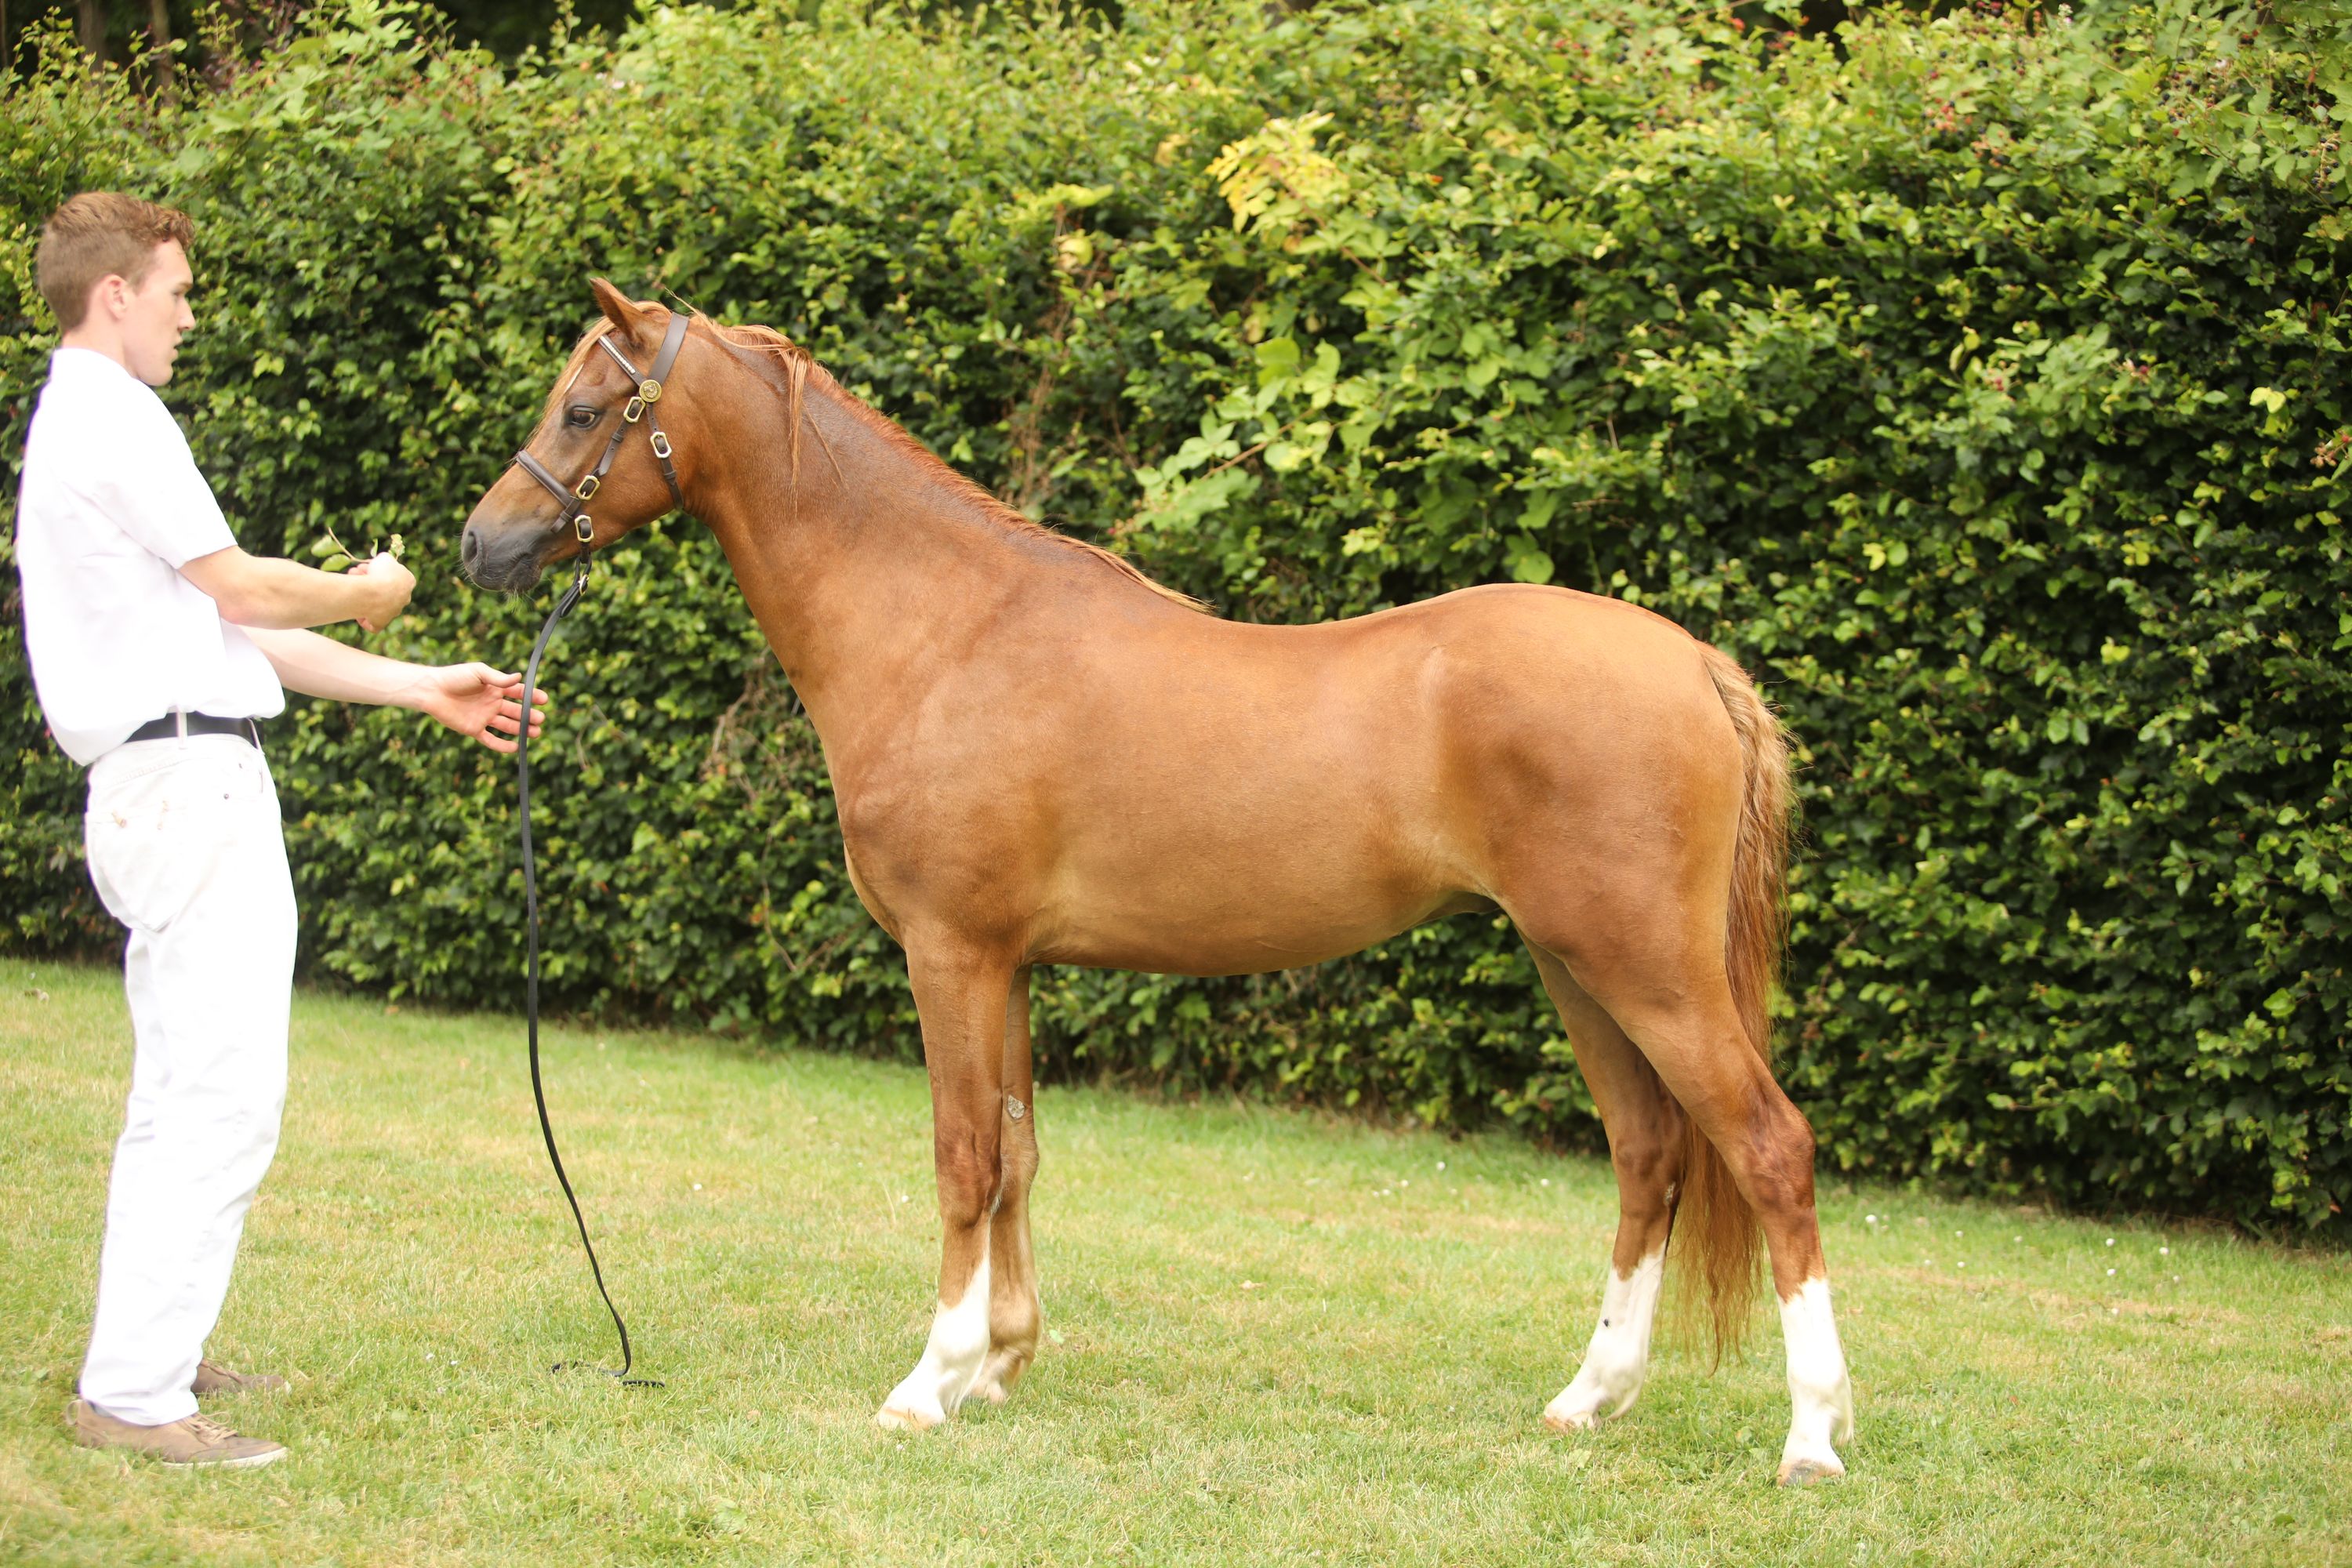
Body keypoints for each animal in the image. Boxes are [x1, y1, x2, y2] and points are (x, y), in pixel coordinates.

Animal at [460, 281, 1856, 1484]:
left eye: (586, 408)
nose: (483, 545)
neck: (943, 629)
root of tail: (1694, 665)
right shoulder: (1012, 963)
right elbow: (1019, 1154)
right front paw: (998, 1365)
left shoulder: (951, 951)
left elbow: (963, 1155)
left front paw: (926, 1384)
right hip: (1576, 968)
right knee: (1650, 1157)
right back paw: (1591, 1397)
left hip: (1646, 968)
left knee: (1768, 1149)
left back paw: (1812, 1438)